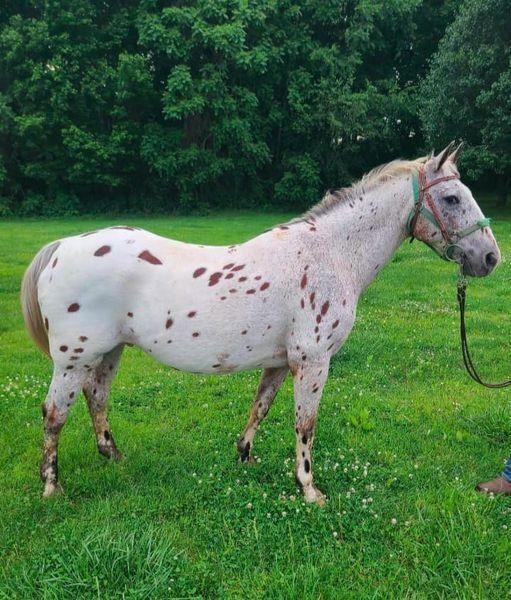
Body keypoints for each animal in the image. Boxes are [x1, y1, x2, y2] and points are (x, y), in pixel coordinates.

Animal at [22, 144, 502, 502]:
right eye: (453, 198)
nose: (490, 257)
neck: (330, 254)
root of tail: (62, 247)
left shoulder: (280, 361)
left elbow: (261, 406)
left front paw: (245, 455)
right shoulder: (312, 362)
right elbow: (305, 423)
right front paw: (309, 489)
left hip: (109, 351)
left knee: (96, 397)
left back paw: (113, 455)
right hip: (74, 360)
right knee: (54, 413)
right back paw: (52, 487)